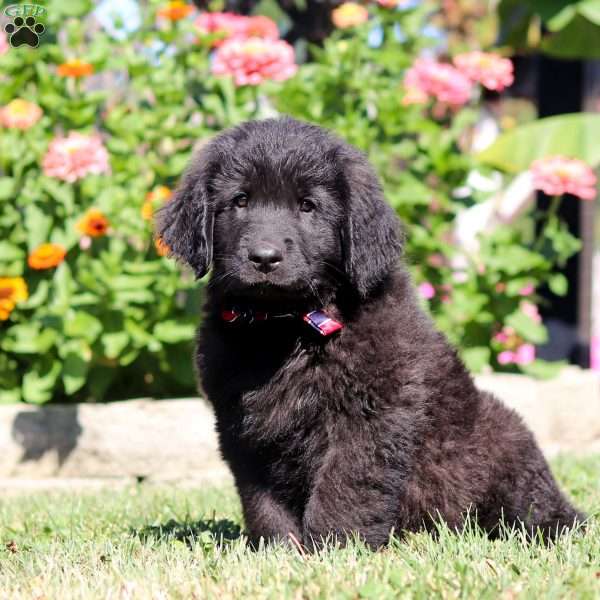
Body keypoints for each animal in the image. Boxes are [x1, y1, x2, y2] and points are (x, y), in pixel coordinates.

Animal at [157, 116, 584, 548]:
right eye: (240, 201)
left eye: (308, 206)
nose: (264, 257)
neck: (285, 327)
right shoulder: (243, 427)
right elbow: (263, 500)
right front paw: (281, 549)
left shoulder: (369, 417)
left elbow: (345, 487)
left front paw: (335, 546)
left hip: (502, 443)